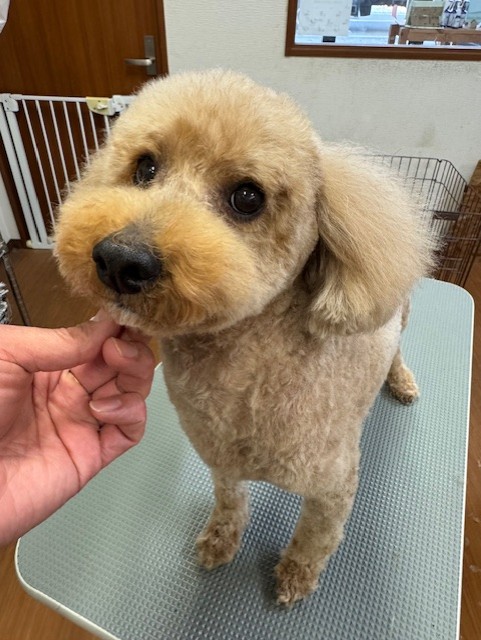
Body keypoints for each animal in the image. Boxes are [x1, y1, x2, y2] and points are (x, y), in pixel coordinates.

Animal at [55, 70, 434, 605]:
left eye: (248, 198)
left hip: (397, 315)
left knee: (397, 347)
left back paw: (400, 382)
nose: (119, 259)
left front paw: (295, 575)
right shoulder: (221, 462)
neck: (248, 371)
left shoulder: (333, 486)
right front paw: (220, 540)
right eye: (145, 168)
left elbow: (315, 539)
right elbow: (229, 502)